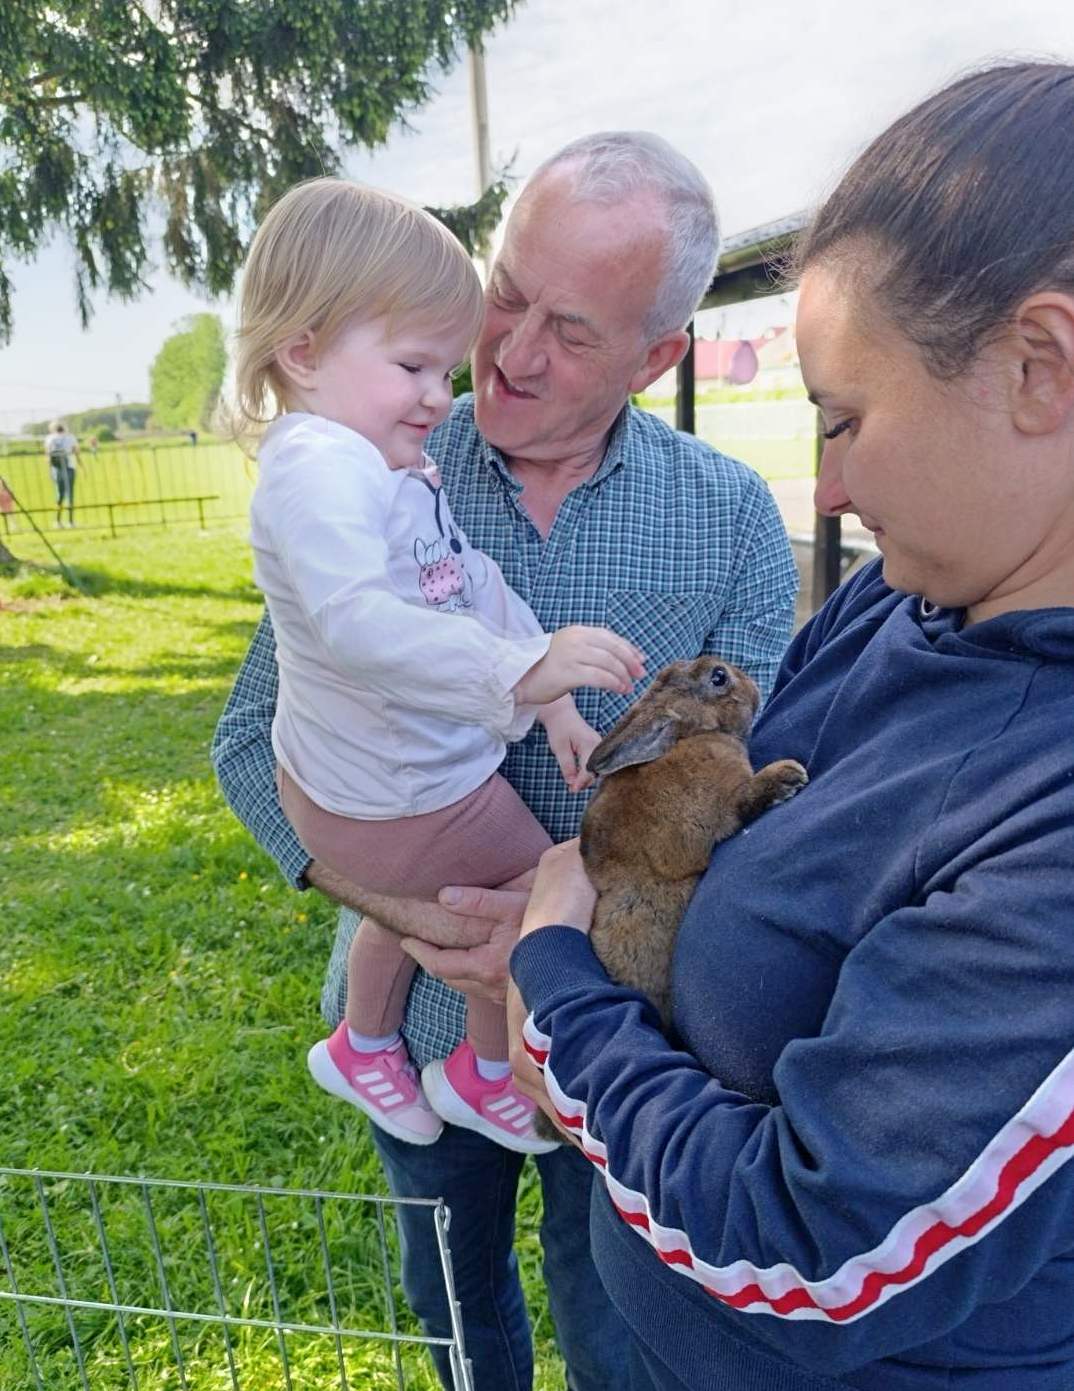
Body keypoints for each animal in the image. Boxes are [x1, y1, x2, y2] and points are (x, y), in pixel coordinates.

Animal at [533, 655, 807, 1141]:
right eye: (718, 678)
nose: (754, 687)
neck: (690, 733)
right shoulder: (712, 816)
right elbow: (743, 803)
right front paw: (788, 777)